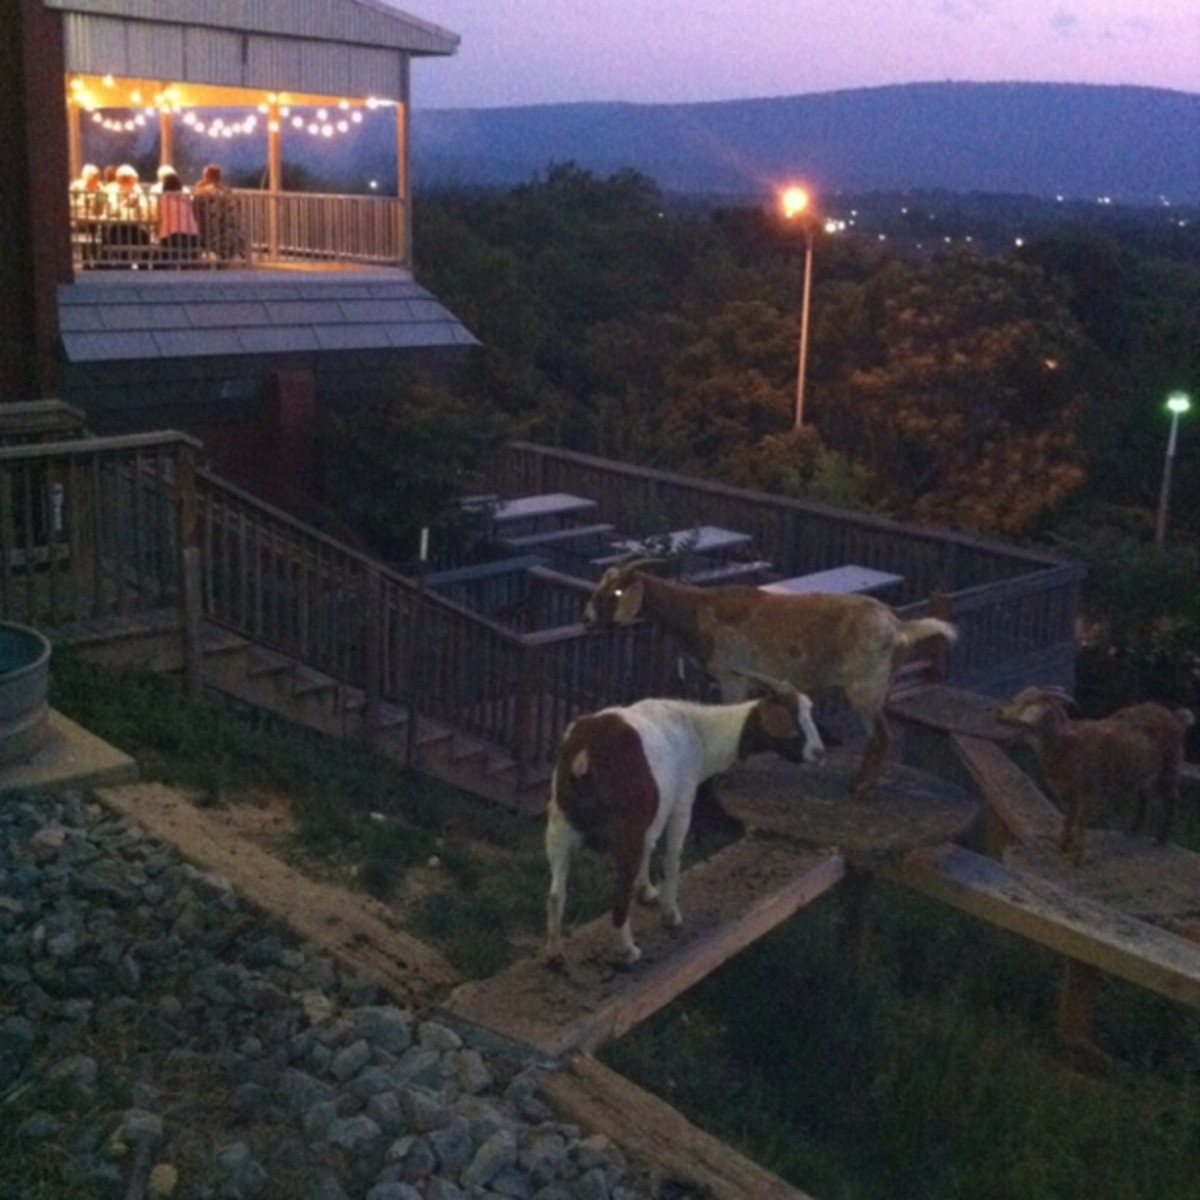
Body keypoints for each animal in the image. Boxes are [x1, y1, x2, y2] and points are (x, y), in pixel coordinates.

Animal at [547, 676, 820, 964]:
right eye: (793, 717)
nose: (819, 752)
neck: (699, 734)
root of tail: (584, 755)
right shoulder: (681, 805)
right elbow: (672, 859)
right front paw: (671, 915)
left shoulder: (654, 815)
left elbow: (650, 847)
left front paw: (647, 891)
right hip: (624, 830)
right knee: (619, 897)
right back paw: (629, 950)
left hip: (559, 824)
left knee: (555, 894)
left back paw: (554, 953)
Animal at [580, 559, 955, 801]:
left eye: (615, 594)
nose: (587, 620)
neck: (699, 612)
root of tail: (900, 627)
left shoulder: (731, 677)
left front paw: (729, 773)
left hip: (866, 688)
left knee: (881, 736)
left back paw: (860, 789)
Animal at [993, 686, 1190, 864]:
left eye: (1028, 703)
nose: (999, 712)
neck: (1066, 744)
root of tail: (1174, 716)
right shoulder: (1066, 791)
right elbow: (1069, 817)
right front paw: (1063, 846)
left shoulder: (1089, 790)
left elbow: (1080, 820)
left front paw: (1076, 856)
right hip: (1142, 772)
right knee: (1145, 798)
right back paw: (1133, 831)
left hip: (1171, 765)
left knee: (1172, 799)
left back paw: (1162, 839)